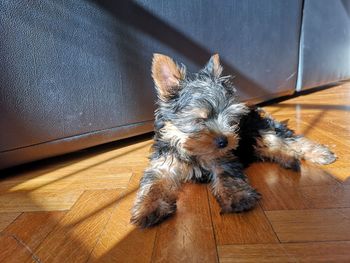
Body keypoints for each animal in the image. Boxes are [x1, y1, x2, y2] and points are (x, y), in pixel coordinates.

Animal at [129, 54, 336, 229]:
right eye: (201, 119)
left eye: (231, 119)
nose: (224, 142)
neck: (192, 150)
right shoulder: (163, 164)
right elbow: (154, 183)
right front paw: (148, 208)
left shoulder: (223, 158)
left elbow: (227, 175)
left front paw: (238, 197)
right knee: (271, 147)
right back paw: (289, 159)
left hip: (262, 128)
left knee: (290, 139)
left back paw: (320, 154)